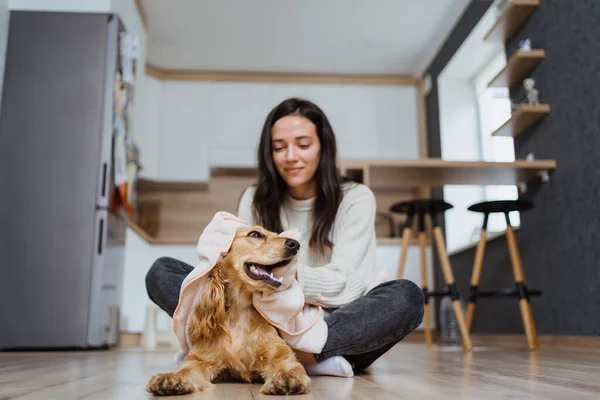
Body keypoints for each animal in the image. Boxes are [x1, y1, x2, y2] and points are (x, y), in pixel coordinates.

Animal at [146, 227, 312, 396]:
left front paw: (287, 378)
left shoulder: (277, 352)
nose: (295, 244)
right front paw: (170, 378)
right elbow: (186, 370)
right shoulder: (202, 358)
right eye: (255, 234)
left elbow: (287, 365)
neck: (240, 312)